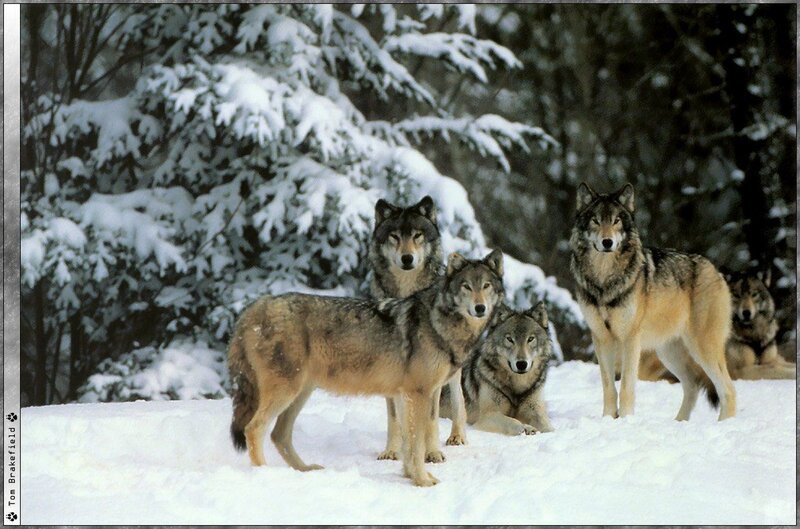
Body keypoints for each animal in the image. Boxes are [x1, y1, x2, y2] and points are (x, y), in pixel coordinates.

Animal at [228, 250, 504, 487]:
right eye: (466, 286)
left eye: (486, 286)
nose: (480, 308)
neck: (439, 323)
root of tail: (256, 306)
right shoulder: (419, 394)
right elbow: (416, 444)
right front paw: (422, 481)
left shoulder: (406, 395)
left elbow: (409, 442)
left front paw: (409, 475)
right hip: (286, 392)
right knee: (254, 429)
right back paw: (263, 474)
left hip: (300, 394)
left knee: (279, 435)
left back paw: (305, 470)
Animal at [368, 196, 468, 463]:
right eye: (394, 236)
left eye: (417, 235)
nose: (407, 258)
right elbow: (395, 416)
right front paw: (392, 450)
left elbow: (431, 418)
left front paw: (432, 453)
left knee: (459, 399)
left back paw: (457, 436)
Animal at [440, 302, 555, 435]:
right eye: (509, 339)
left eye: (530, 339)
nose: (521, 364)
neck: (517, 387)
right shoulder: (486, 417)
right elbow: (513, 422)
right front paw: (526, 428)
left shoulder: (535, 409)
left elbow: (547, 426)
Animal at [570, 182, 736, 421]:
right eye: (596, 220)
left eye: (616, 220)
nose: (607, 242)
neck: (604, 281)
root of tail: (715, 269)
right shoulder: (601, 339)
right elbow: (609, 388)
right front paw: (608, 419)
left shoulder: (630, 339)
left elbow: (626, 387)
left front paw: (626, 420)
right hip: (669, 353)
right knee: (693, 386)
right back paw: (679, 423)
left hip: (702, 348)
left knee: (728, 390)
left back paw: (723, 424)